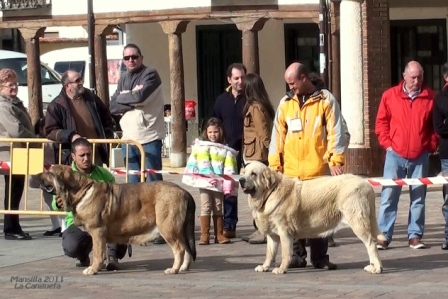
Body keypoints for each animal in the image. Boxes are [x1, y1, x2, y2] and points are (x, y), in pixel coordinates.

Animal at [38, 166, 198, 276]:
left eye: (49, 173)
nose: (37, 175)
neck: (81, 190)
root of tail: (184, 192)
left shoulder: (97, 231)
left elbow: (98, 253)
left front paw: (93, 269)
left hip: (168, 228)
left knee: (179, 249)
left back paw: (174, 269)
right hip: (180, 229)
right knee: (186, 248)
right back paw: (183, 267)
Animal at [238, 163, 384, 276]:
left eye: (253, 174)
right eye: (244, 172)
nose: (240, 180)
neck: (270, 193)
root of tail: (366, 184)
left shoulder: (284, 233)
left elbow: (285, 254)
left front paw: (281, 269)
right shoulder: (273, 235)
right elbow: (270, 253)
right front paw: (265, 266)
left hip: (357, 222)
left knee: (371, 244)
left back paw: (376, 268)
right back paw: (372, 266)